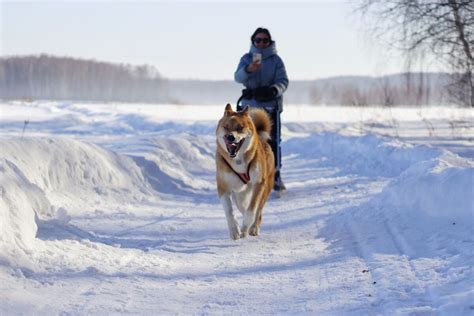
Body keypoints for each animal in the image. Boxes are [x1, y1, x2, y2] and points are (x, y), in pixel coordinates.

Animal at [215, 103, 274, 239]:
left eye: (240, 127)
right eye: (226, 127)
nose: (230, 137)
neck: (238, 161)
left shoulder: (258, 184)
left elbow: (251, 211)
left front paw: (245, 227)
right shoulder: (223, 186)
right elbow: (229, 211)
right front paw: (234, 231)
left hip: (264, 188)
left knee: (258, 212)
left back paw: (253, 228)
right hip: (240, 196)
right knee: (243, 208)